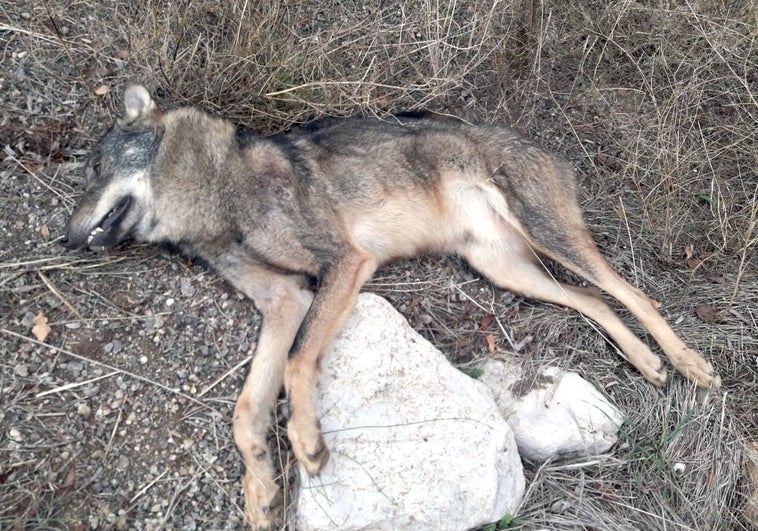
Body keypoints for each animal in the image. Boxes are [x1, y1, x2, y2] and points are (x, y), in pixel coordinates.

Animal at [62, 85, 720, 528]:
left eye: (93, 169)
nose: (64, 240)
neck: (220, 192)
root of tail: (539, 144)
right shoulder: (284, 301)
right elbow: (246, 411)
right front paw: (260, 490)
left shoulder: (345, 265)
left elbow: (297, 365)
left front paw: (306, 442)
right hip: (507, 269)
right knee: (591, 299)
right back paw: (646, 364)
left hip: (550, 239)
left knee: (633, 293)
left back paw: (689, 364)